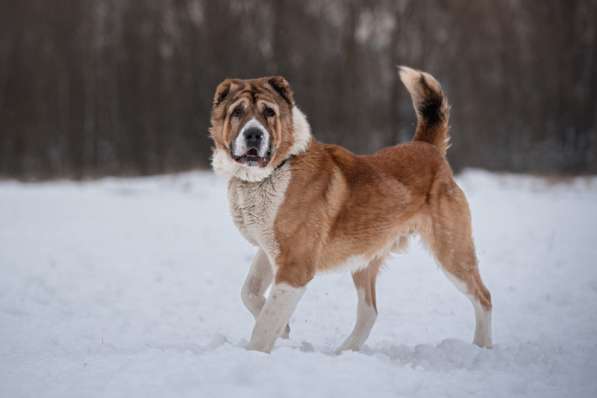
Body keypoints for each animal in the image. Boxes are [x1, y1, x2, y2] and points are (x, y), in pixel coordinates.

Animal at [207, 67, 492, 352]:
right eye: (237, 112)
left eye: (269, 112)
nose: (253, 134)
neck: (273, 171)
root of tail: (427, 147)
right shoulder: (270, 249)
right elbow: (250, 292)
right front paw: (284, 329)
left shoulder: (295, 265)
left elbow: (264, 327)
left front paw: (256, 352)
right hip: (364, 259)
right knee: (369, 312)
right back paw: (344, 353)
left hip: (452, 253)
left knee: (484, 297)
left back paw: (483, 346)